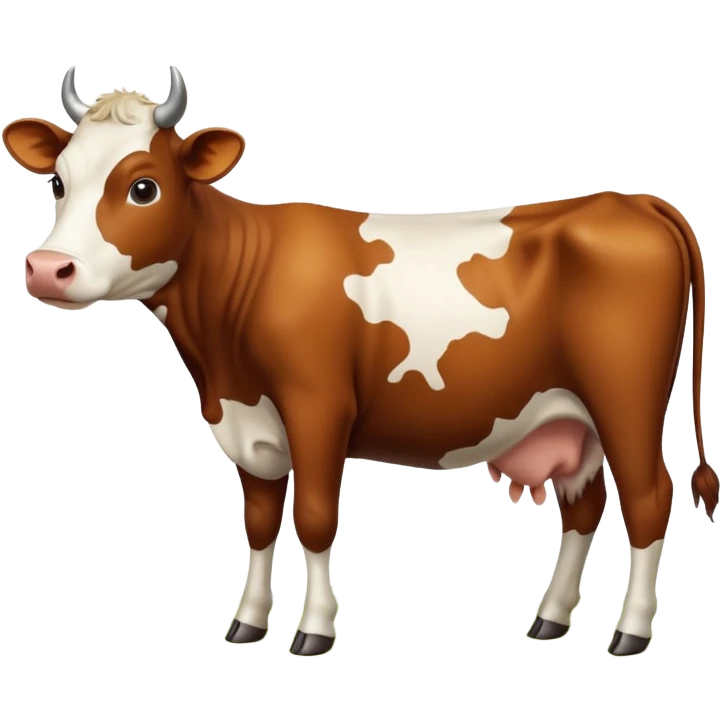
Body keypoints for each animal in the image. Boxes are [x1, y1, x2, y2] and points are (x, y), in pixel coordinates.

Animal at [3, 66, 718, 659]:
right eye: (59, 181)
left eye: (144, 187)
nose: (46, 269)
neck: (220, 354)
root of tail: (628, 201)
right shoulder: (247, 424)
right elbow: (259, 524)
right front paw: (248, 624)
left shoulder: (318, 407)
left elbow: (317, 518)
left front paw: (314, 632)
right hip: (570, 417)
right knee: (584, 503)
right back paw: (549, 619)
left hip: (626, 399)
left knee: (648, 498)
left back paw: (629, 633)